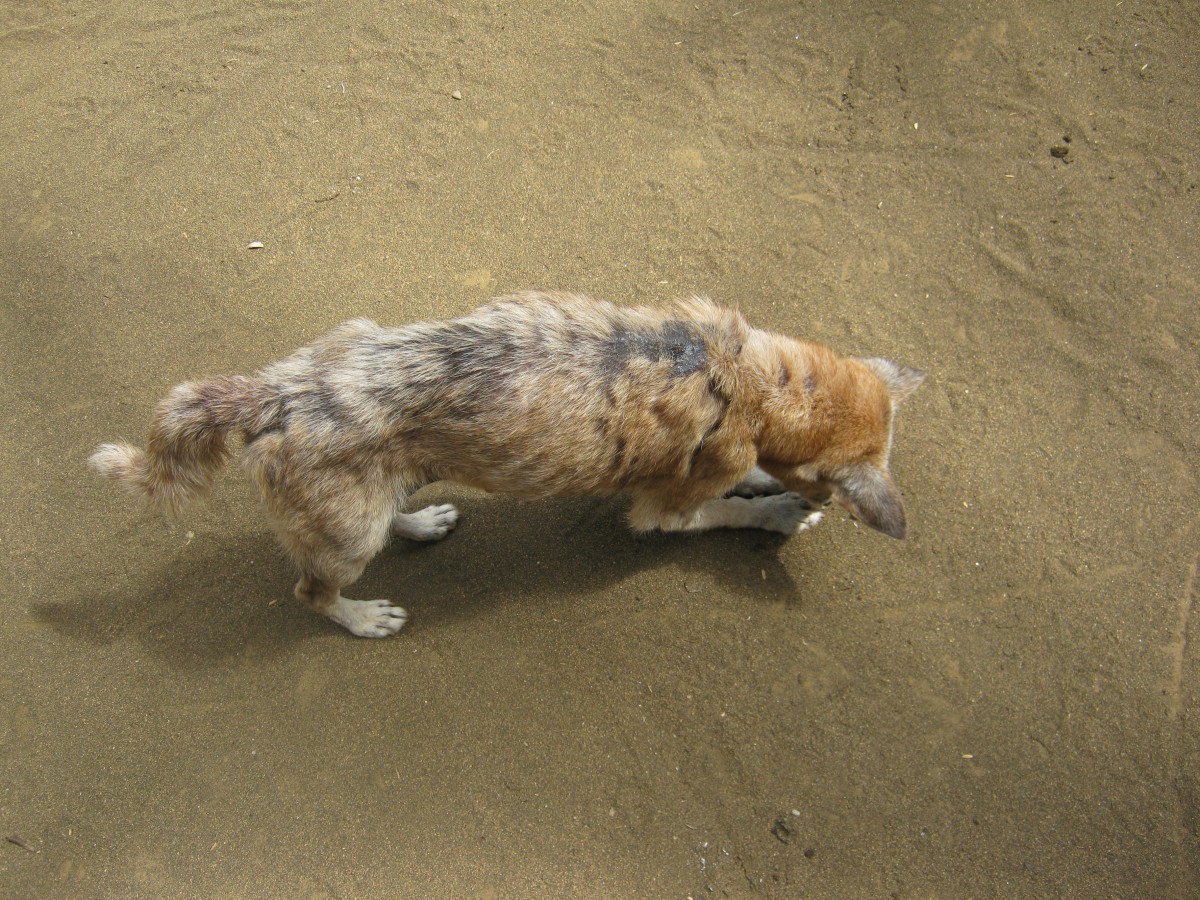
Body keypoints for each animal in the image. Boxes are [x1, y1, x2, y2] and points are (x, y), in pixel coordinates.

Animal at [88, 292, 921, 638]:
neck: (753, 377)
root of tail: (279, 392)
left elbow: (744, 477)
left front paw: (770, 487)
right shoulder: (663, 512)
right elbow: (727, 504)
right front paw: (778, 509)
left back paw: (422, 520)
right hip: (347, 538)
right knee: (310, 592)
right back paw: (363, 618)